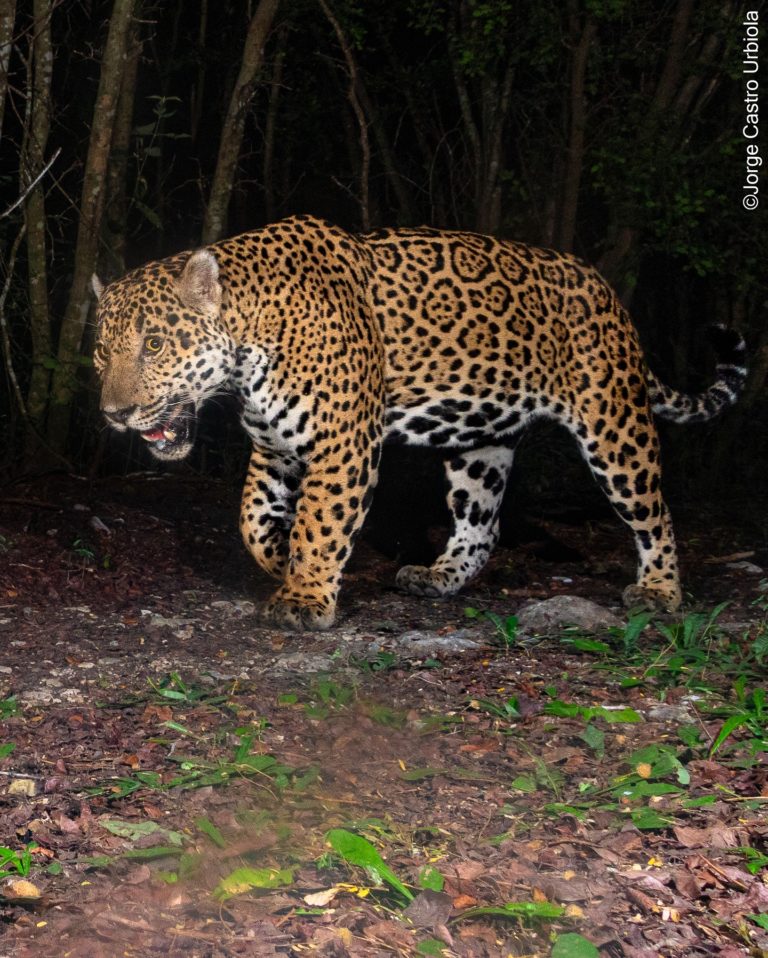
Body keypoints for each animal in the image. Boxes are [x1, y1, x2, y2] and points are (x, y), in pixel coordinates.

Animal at [93, 214, 746, 630]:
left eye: (154, 345)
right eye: (101, 353)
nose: (114, 415)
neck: (251, 340)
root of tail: (610, 296)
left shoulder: (342, 444)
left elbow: (319, 523)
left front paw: (305, 596)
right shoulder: (275, 449)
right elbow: (252, 519)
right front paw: (281, 560)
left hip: (613, 425)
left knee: (655, 513)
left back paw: (660, 591)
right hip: (482, 440)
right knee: (482, 525)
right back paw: (438, 576)